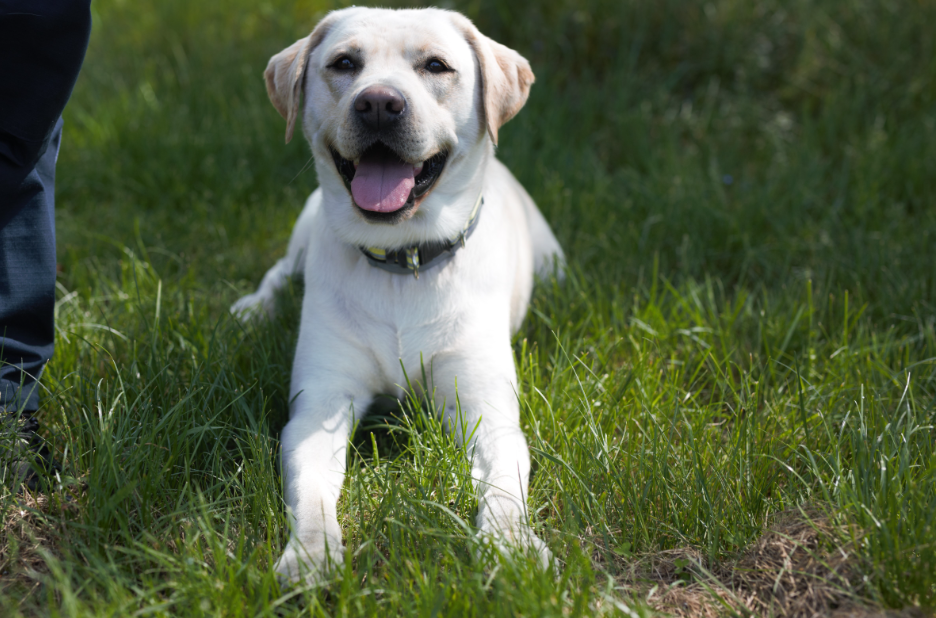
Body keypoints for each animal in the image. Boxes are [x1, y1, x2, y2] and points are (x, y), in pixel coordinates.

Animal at [232, 7, 564, 583]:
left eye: (436, 65)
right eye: (344, 63)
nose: (379, 104)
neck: (402, 260)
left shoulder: (487, 411)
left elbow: (504, 489)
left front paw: (512, 547)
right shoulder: (320, 403)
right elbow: (312, 493)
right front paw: (311, 555)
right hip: (304, 224)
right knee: (280, 270)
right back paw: (255, 309)